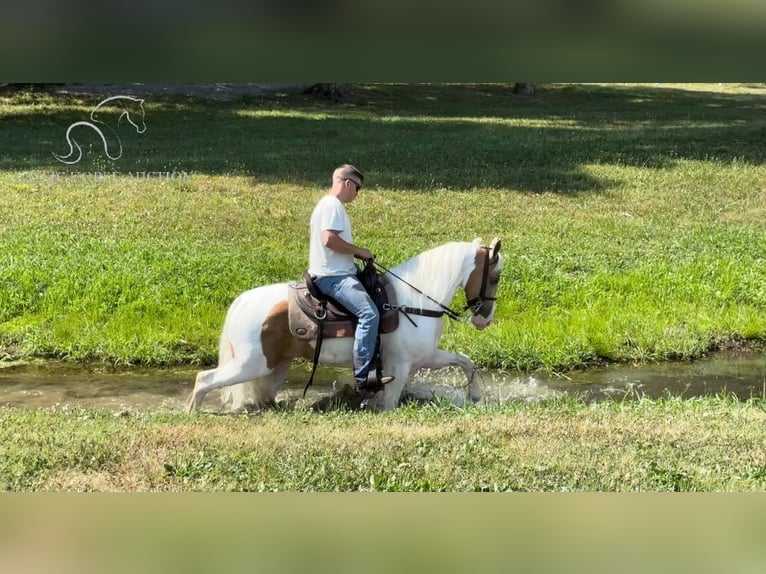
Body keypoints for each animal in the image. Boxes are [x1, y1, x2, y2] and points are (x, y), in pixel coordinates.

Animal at [188, 238, 504, 414]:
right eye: (495, 276)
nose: (484, 319)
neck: (414, 301)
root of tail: (242, 303)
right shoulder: (401, 366)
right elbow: (389, 403)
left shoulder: (426, 357)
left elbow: (465, 361)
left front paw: (475, 396)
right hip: (252, 364)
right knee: (204, 379)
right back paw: (192, 412)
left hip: (275, 366)